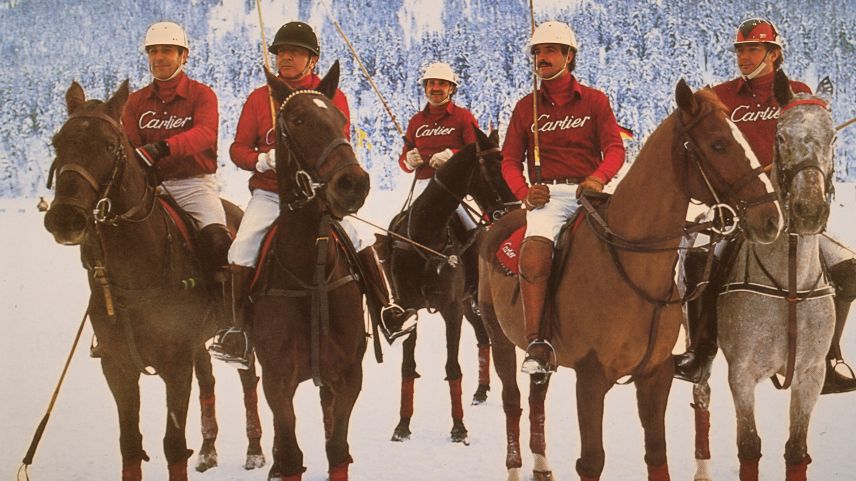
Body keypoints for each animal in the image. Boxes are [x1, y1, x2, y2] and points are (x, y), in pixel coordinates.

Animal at [40, 80, 266, 478]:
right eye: (57, 141)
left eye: (109, 144)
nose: (65, 219)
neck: (136, 268)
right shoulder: (118, 367)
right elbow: (130, 445)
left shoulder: (175, 365)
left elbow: (173, 444)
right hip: (197, 341)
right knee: (207, 379)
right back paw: (208, 450)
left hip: (241, 328)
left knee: (248, 380)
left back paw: (255, 451)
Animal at [246, 62, 370, 480]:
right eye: (298, 120)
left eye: (341, 119)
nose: (353, 184)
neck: (309, 271)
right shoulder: (277, 381)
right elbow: (290, 455)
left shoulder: (348, 376)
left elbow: (338, 450)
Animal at [380, 126, 516, 442]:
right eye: (494, 167)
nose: (515, 207)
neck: (424, 235)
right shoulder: (410, 309)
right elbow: (408, 367)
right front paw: (402, 426)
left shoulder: (450, 309)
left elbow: (452, 367)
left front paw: (458, 428)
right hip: (468, 303)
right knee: (482, 337)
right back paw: (481, 390)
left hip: (475, 300)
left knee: (489, 336)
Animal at [478, 79, 784, 480]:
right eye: (718, 144)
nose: (772, 218)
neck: (633, 269)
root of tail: (500, 222)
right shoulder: (591, 377)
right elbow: (591, 460)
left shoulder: (655, 374)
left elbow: (656, 453)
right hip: (498, 335)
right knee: (512, 401)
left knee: (535, 394)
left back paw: (542, 466)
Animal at [688, 68, 836, 480]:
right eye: (781, 135)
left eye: (833, 136)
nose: (808, 210)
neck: (789, 283)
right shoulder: (742, 373)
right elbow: (749, 447)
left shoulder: (810, 375)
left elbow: (796, 451)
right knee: (701, 397)